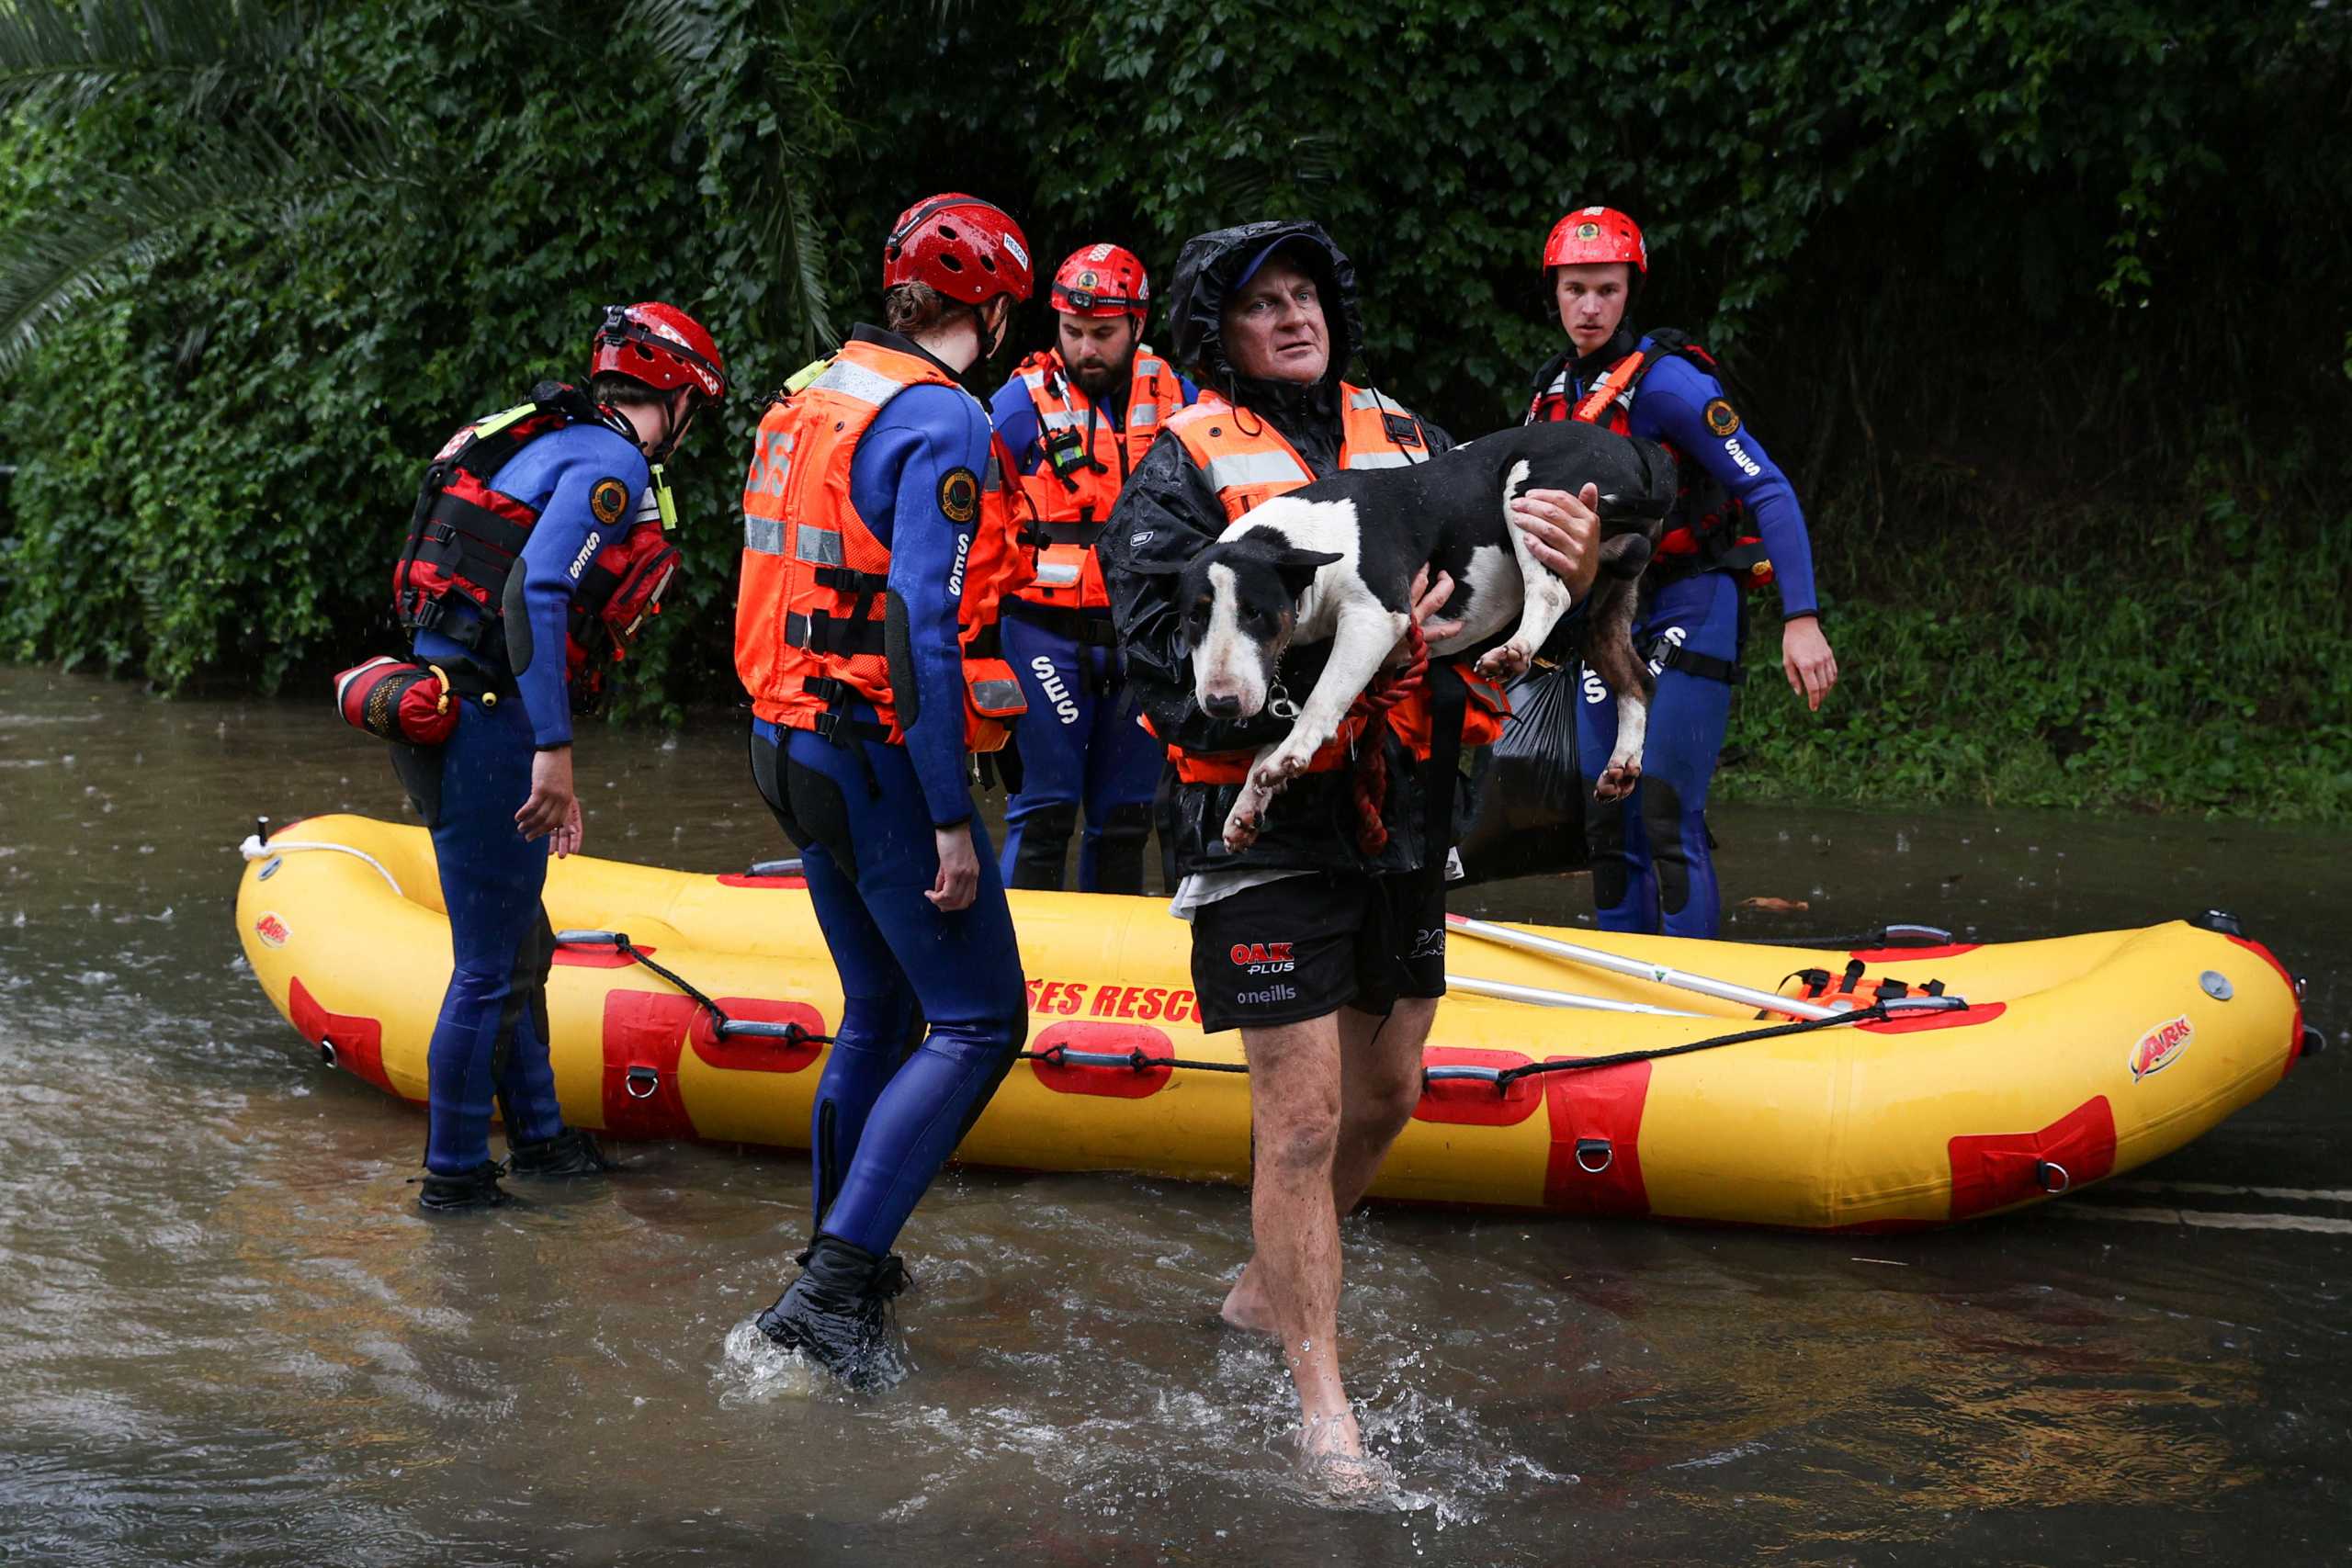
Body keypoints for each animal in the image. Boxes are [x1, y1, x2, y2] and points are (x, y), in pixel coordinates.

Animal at [1133, 421, 1674, 846]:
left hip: (1532, 499)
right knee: (1636, 678)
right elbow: (1283, 718)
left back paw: (1511, 652)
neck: (1302, 540)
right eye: (1192, 618)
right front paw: (1250, 800)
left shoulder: (1374, 619)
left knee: (1551, 593)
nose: (1221, 704)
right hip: (1608, 593)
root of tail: (1633, 444)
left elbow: (1321, 700)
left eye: (1255, 613)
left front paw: (1289, 757)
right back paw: (1622, 765)